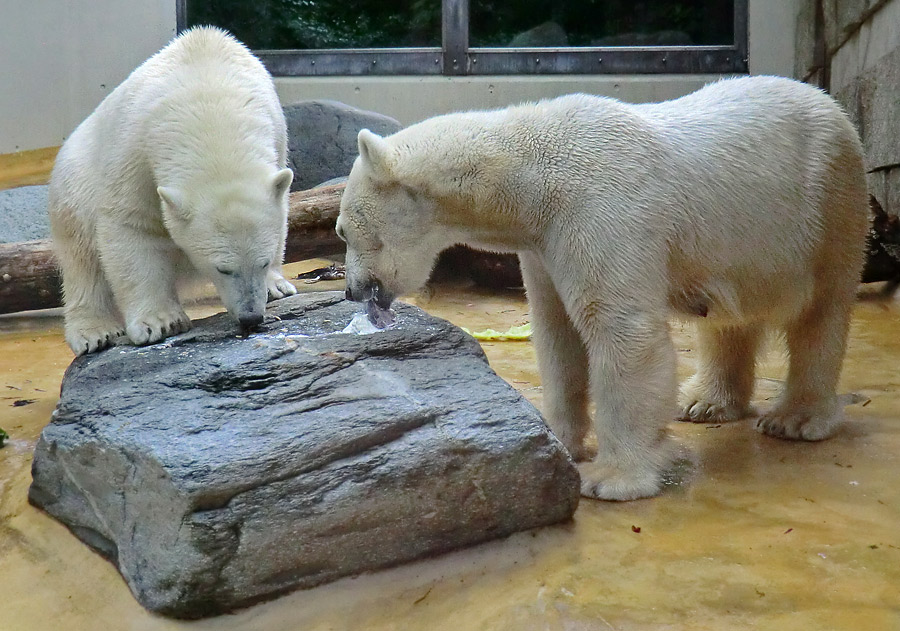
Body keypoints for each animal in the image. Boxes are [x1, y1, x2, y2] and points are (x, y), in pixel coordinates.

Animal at [49, 27, 298, 356]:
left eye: (264, 261)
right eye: (223, 269)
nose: (251, 317)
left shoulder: (277, 131)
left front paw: (276, 285)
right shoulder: (136, 147)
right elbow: (131, 224)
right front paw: (160, 322)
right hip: (75, 184)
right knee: (83, 257)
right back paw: (94, 331)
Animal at [338, 76, 872, 502]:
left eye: (343, 231)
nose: (352, 291)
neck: (532, 173)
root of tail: (827, 100)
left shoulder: (601, 209)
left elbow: (620, 329)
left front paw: (612, 478)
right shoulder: (544, 244)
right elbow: (557, 335)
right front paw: (557, 438)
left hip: (827, 204)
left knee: (821, 309)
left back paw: (796, 418)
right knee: (729, 318)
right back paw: (705, 402)